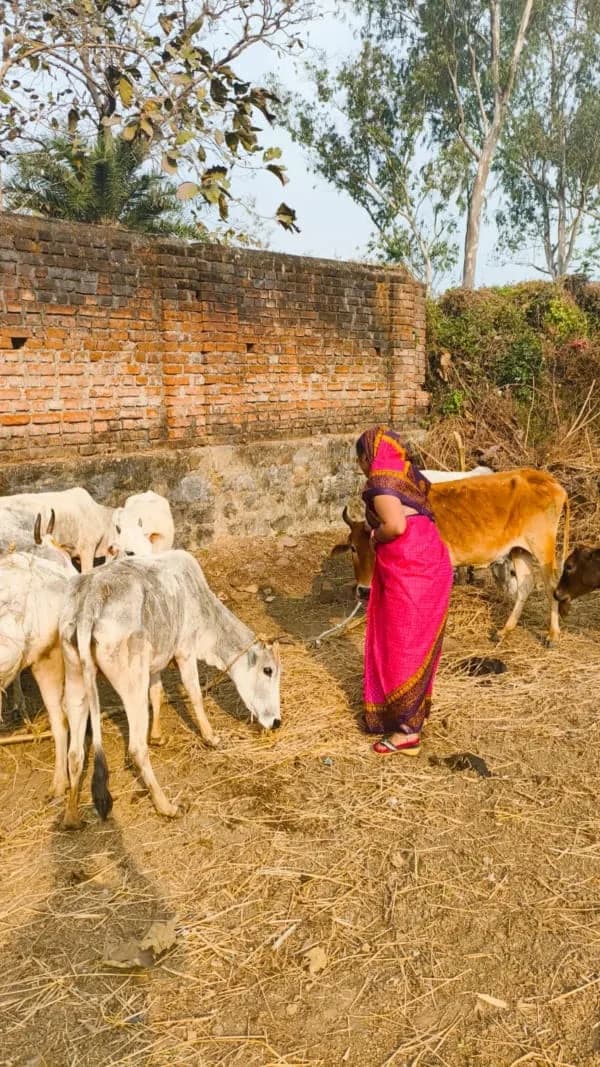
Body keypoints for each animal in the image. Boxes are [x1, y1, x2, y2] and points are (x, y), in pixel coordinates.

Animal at [59, 549, 282, 827]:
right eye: (268, 670)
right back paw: (166, 806)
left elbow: (157, 693)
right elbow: (194, 694)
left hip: (75, 678)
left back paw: (71, 817)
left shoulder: (155, 663)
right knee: (136, 748)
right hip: (132, 684)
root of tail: (92, 597)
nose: (276, 721)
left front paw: (157, 736)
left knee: (75, 754)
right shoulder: (185, 650)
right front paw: (211, 737)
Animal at [333, 469, 570, 646]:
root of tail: (550, 481)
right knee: (525, 586)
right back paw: (504, 631)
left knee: (551, 586)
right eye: (353, 548)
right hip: (519, 550)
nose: (364, 591)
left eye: (376, 546)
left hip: (542, 547)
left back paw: (553, 635)